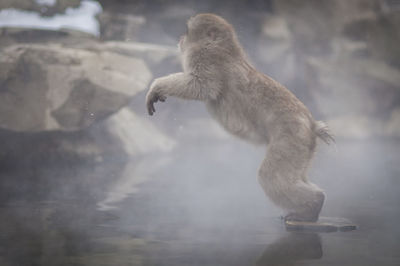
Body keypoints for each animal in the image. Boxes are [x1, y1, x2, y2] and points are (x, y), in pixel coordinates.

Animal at [145, 13, 332, 221]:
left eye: (187, 31)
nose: (180, 39)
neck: (222, 45)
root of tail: (311, 124)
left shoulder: (206, 58)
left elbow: (201, 86)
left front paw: (157, 86)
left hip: (292, 138)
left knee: (271, 177)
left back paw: (314, 204)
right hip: (304, 148)